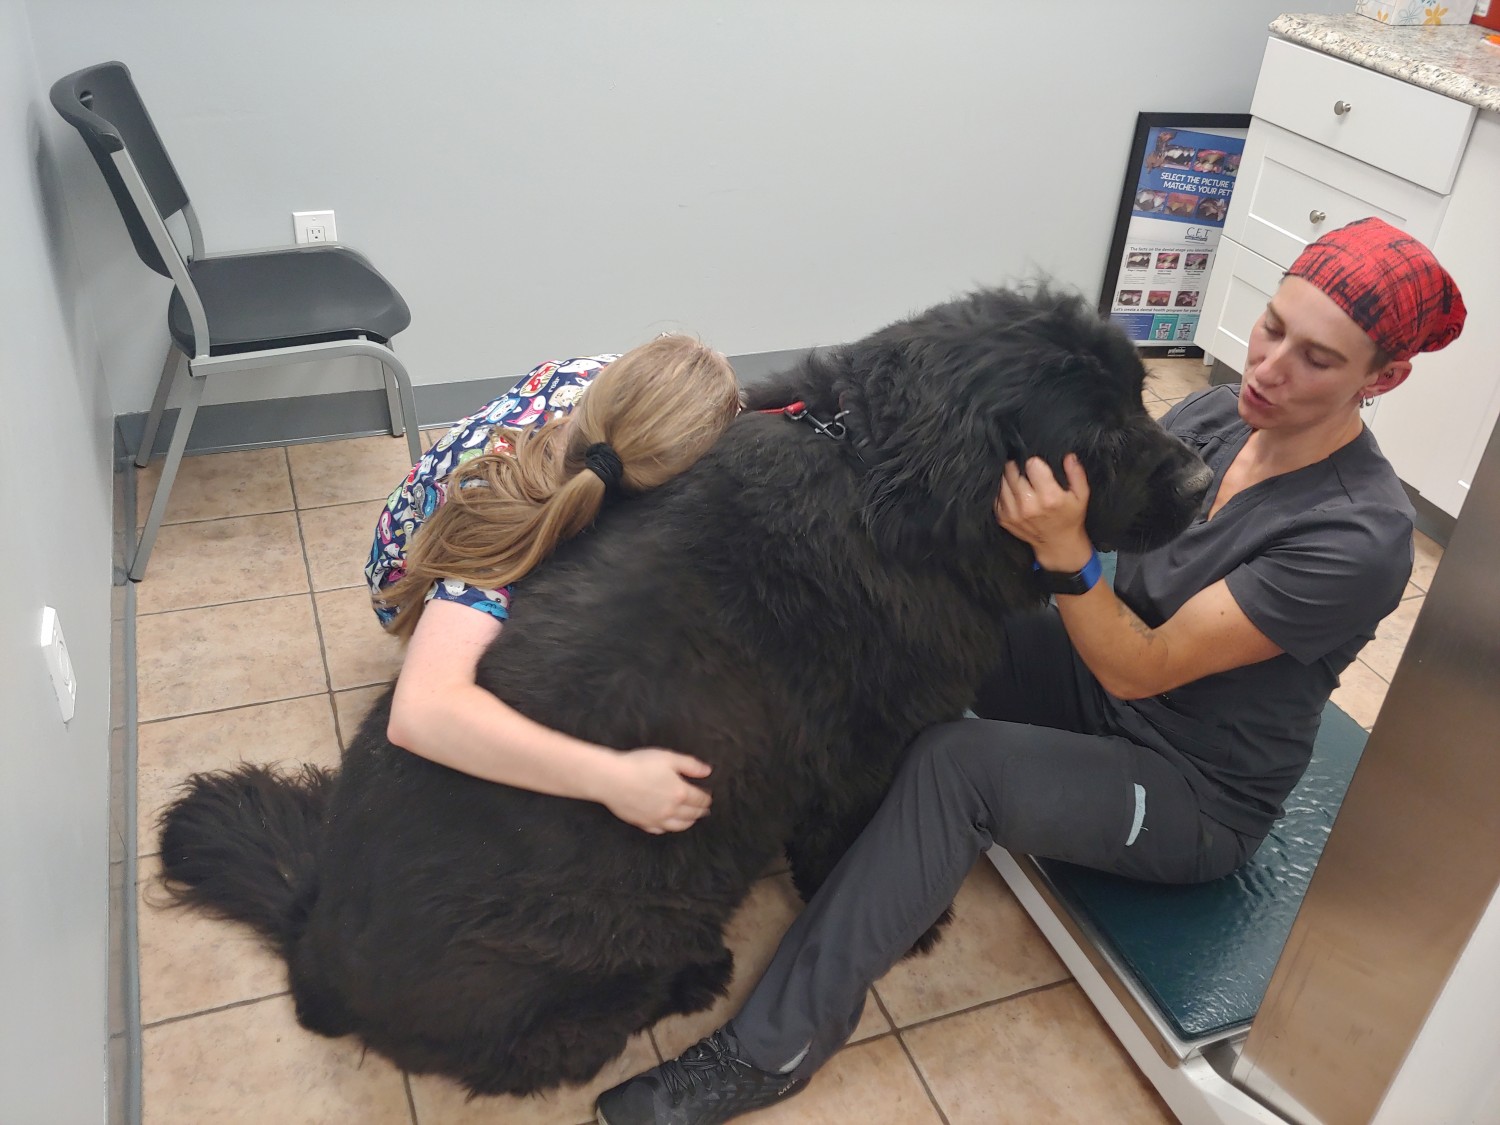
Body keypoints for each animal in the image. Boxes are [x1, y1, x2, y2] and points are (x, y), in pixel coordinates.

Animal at [155, 283, 1206, 1104]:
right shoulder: (874, 740)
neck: (881, 472)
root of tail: (314, 951)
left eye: (1142, 395)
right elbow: (852, 835)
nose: (1202, 480)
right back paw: (693, 977)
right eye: (1101, 434)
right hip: (629, 918)